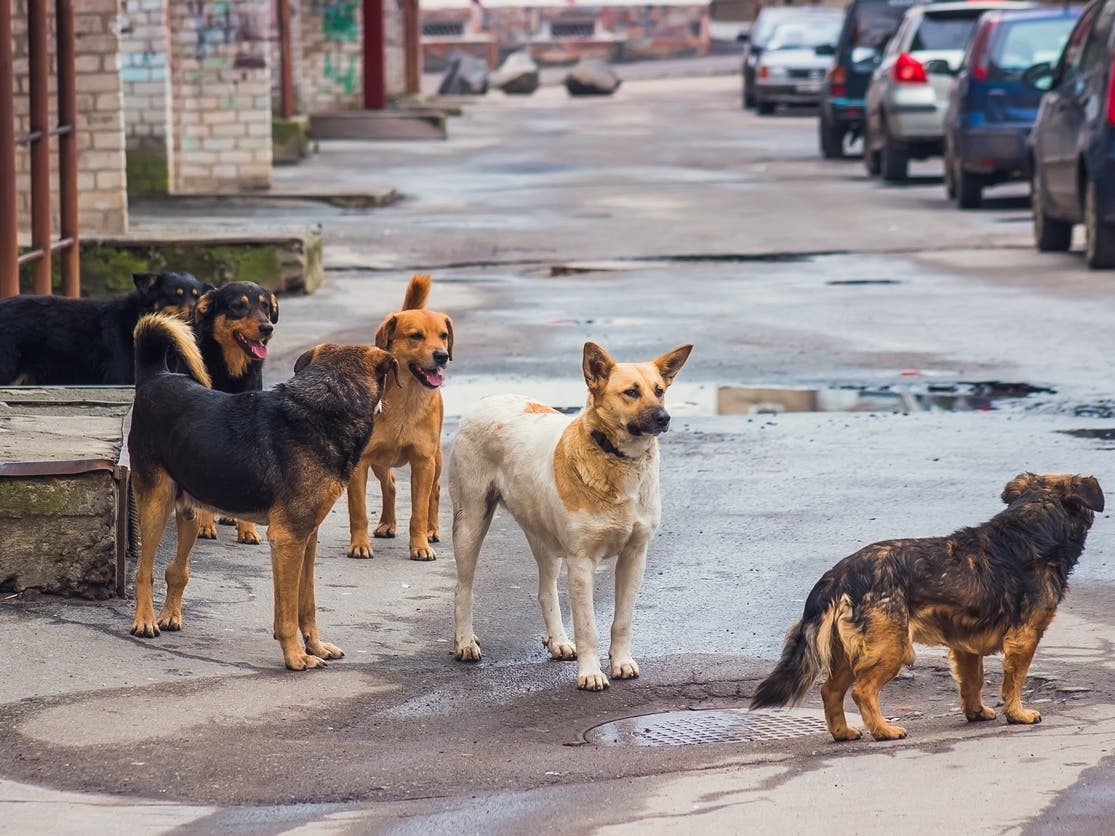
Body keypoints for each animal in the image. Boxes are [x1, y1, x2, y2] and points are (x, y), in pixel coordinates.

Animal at [127, 314, 396, 673]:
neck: (326, 404)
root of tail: (155, 376)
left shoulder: (307, 538)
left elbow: (306, 603)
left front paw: (316, 646)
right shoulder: (287, 539)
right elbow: (287, 613)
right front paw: (295, 656)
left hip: (190, 511)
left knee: (176, 569)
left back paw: (170, 615)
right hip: (155, 504)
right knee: (144, 570)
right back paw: (144, 621)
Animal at [187, 279, 278, 543]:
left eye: (265, 306)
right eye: (238, 306)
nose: (267, 328)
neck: (231, 370)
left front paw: (247, 530)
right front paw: (205, 525)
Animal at [448, 341, 691, 695]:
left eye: (659, 391)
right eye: (631, 392)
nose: (664, 418)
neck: (616, 459)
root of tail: (487, 399)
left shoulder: (635, 556)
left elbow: (622, 621)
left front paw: (621, 662)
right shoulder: (581, 562)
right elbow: (588, 627)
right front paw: (590, 674)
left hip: (543, 538)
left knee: (545, 590)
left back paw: (558, 641)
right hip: (470, 523)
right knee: (463, 588)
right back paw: (464, 642)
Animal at [753, 474, 1101, 744]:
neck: (1033, 526)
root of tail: (838, 575)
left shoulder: (966, 646)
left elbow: (972, 682)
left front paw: (976, 712)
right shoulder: (1024, 638)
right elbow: (1013, 681)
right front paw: (1017, 713)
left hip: (849, 653)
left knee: (830, 691)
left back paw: (843, 732)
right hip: (890, 648)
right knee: (861, 692)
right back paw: (884, 731)